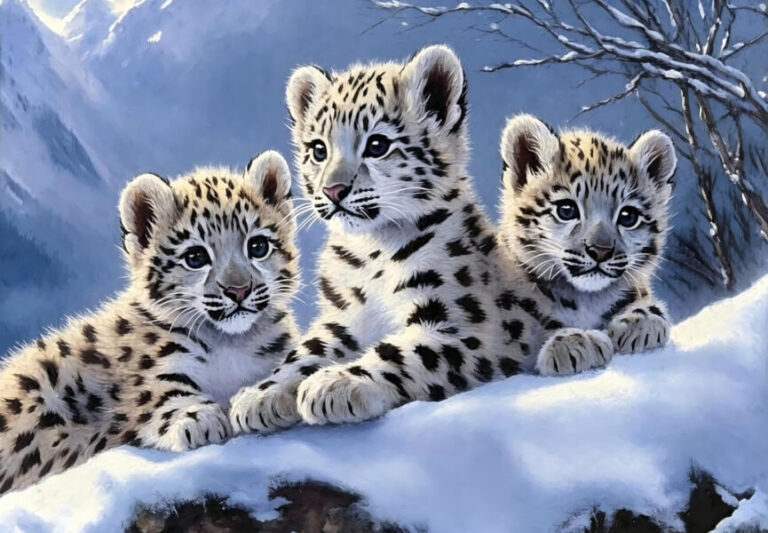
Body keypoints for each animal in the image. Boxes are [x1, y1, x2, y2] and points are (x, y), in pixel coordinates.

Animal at [0, 151, 299, 494]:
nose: (238, 290)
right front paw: (198, 418)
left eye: (257, 246)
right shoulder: (152, 372)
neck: (232, 344)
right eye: (195, 257)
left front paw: (268, 399)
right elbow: (160, 392)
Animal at [228, 45, 549, 433]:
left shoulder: (464, 325)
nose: (333, 190)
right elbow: (305, 351)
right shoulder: (343, 319)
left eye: (377, 144)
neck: (371, 251)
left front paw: (335, 383)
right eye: (319, 150)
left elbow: (401, 352)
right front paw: (261, 395)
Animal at [496, 114, 677, 376]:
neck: (586, 301)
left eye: (628, 216)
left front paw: (639, 323)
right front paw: (573, 344)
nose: (600, 251)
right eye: (566, 209)